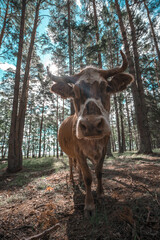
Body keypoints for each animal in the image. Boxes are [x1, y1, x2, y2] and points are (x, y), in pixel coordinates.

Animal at [47, 51, 134, 218]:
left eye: (107, 87)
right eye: (74, 92)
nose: (91, 125)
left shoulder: (103, 149)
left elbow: (98, 172)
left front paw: (100, 194)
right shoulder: (78, 152)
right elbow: (88, 177)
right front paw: (89, 205)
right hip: (69, 153)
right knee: (72, 166)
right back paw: (73, 181)